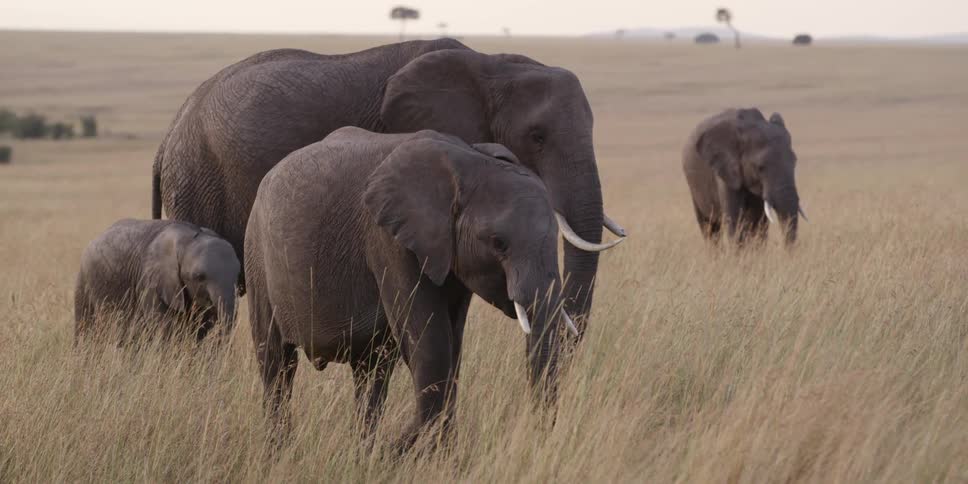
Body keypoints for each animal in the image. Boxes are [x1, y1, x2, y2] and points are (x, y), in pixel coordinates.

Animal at [74, 219, 240, 344]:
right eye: (199, 277)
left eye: (238, 275)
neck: (187, 240)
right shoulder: (150, 282)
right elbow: (165, 327)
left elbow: (200, 327)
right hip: (84, 279)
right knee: (84, 326)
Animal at [244, 127, 576, 448]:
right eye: (498, 243)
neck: (468, 161)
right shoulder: (389, 241)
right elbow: (432, 349)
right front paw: (403, 451)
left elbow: (452, 349)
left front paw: (436, 455)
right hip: (256, 253)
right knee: (277, 363)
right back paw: (282, 451)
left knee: (371, 374)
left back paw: (362, 451)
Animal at [682, 108, 806, 245]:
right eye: (760, 167)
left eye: (794, 161)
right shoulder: (726, 170)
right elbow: (734, 221)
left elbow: (759, 223)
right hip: (693, 186)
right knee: (709, 227)